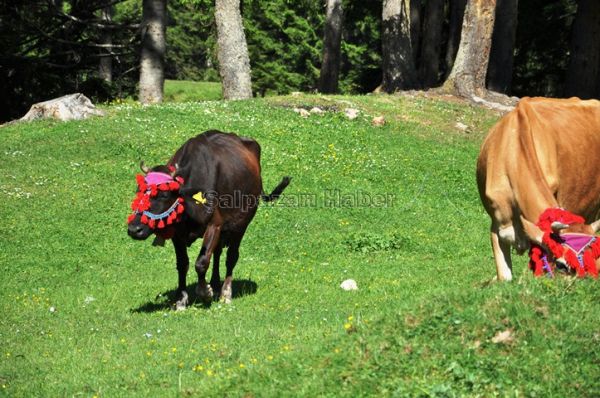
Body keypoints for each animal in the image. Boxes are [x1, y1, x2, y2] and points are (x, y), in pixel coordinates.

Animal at [127, 131, 290, 308]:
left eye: (164, 194)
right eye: (138, 190)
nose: (134, 229)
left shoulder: (214, 224)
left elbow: (202, 262)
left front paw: (205, 292)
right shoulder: (177, 232)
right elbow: (182, 263)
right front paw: (181, 299)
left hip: (241, 224)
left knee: (231, 256)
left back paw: (225, 292)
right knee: (218, 252)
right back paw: (216, 284)